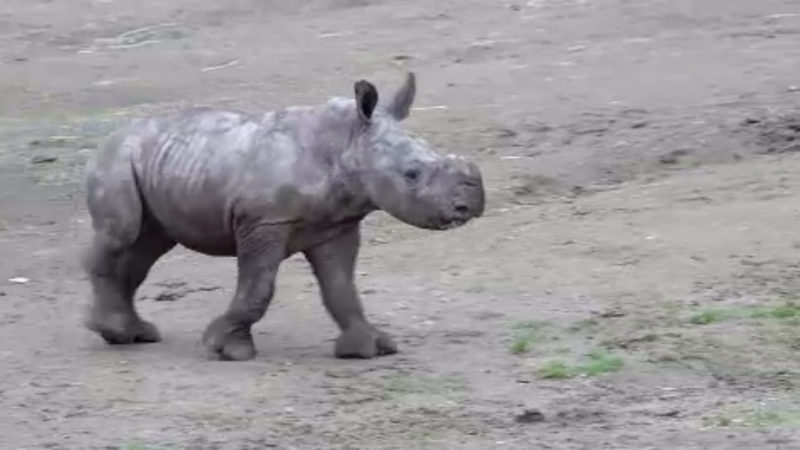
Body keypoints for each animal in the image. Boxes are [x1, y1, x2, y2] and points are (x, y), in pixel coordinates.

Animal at [81, 74, 484, 362]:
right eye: (411, 174)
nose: (473, 203)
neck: (346, 144)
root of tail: (112, 135)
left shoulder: (336, 225)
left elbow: (341, 287)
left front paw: (369, 349)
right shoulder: (263, 222)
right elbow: (259, 288)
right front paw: (225, 348)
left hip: (161, 165)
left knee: (146, 246)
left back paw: (135, 334)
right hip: (117, 159)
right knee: (122, 234)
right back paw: (114, 331)